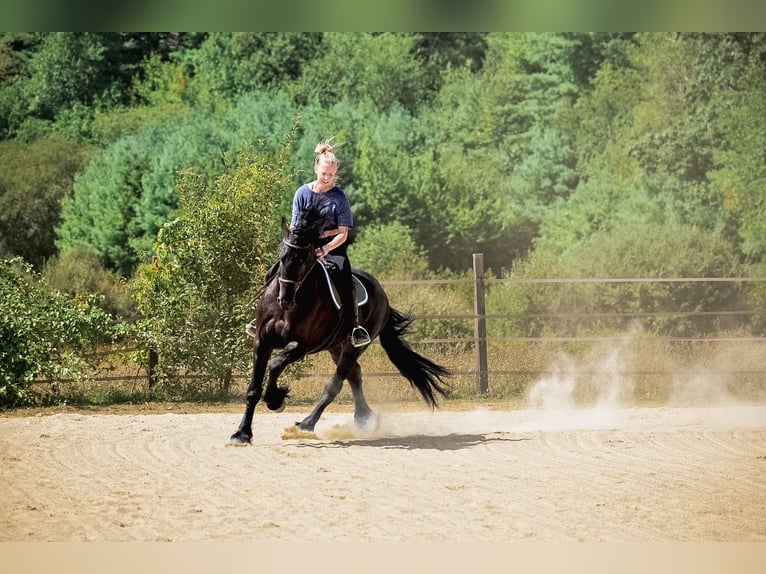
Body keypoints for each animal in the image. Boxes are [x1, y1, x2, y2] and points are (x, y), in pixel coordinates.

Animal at [229, 200, 450, 444]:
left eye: (304, 259)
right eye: (282, 255)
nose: (285, 299)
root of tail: (382, 293)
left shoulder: (301, 345)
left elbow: (276, 364)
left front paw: (276, 400)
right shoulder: (262, 341)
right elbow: (253, 389)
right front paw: (242, 433)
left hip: (355, 346)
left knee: (337, 382)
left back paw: (307, 424)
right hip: (336, 346)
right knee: (355, 375)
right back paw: (364, 419)